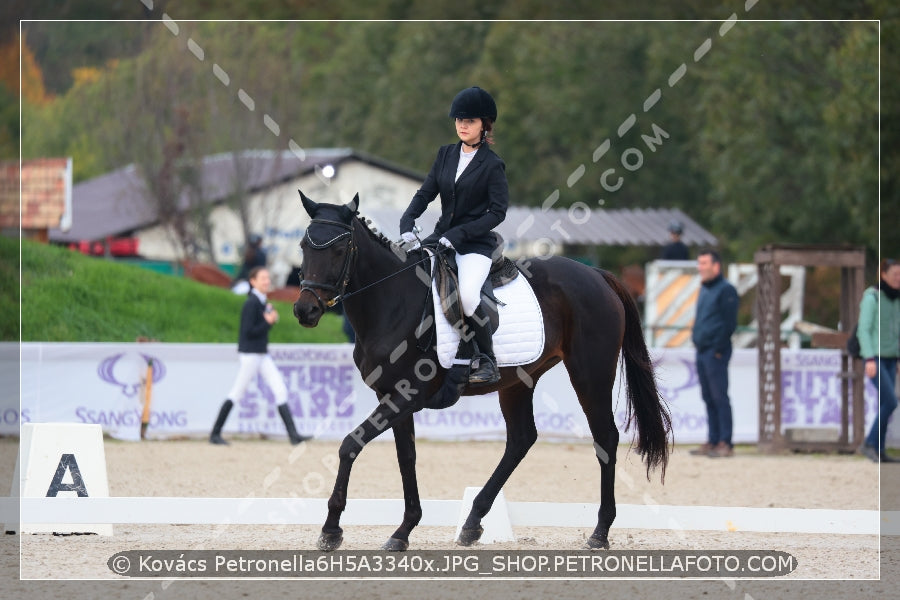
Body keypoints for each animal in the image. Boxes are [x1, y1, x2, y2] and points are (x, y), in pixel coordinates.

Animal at [290, 193, 668, 552]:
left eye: (340, 249)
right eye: (304, 247)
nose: (305, 310)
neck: (391, 300)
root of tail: (598, 275)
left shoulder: (407, 395)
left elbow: (350, 444)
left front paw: (331, 530)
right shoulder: (391, 396)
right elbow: (406, 457)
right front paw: (404, 530)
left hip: (591, 373)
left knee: (605, 438)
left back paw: (600, 532)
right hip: (518, 381)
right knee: (521, 439)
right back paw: (472, 522)